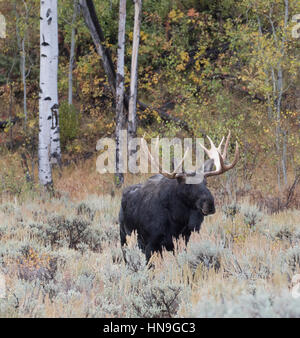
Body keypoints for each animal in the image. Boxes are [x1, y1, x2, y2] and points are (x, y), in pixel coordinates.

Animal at [119, 131, 239, 262]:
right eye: (187, 184)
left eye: (206, 182)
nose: (210, 204)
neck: (177, 219)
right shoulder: (150, 243)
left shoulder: (182, 240)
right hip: (124, 237)